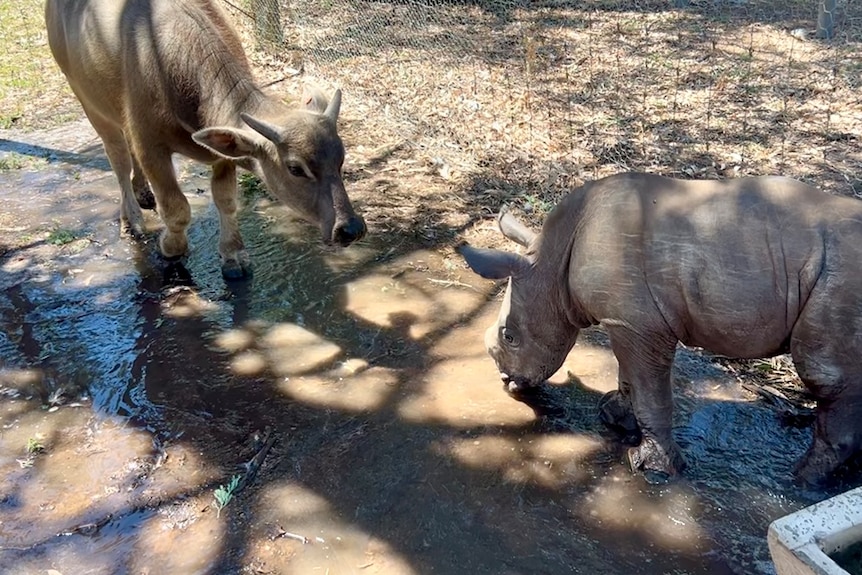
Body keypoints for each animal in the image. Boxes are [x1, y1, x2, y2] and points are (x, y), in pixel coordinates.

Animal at [45, 0, 365, 279]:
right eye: (296, 168)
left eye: (341, 159)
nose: (350, 229)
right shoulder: (151, 146)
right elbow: (176, 208)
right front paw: (171, 247)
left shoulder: (221, 154)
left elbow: (226, 200)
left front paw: (233, 255)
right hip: (88, 102)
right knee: (118, 158)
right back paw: (132, 218)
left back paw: (142, 191)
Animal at [460, 172, 862, 485]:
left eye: (509, 336)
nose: (507, 381)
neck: (551, 262)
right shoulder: (628, 321)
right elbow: (630, 379)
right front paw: (614, 415)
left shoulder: (638, 324)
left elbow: (649, 392)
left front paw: (651, 469)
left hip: (840, 278)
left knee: (826, 375)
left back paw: (799, 481)